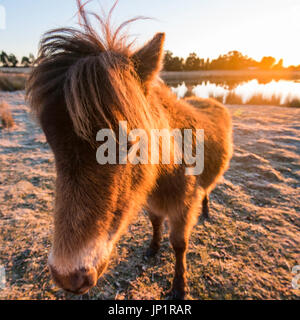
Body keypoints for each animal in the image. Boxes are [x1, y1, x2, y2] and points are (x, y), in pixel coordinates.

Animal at [26, 1, 232, 300]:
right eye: (51, 144)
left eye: (131, 143)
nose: (68, 276)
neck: (166, 172)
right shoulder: (150, 202)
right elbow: (156, 223)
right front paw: (152, 249)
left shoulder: (183, 209)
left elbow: (179, 244)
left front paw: (179, 287)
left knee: (207, 191)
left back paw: (206, 211)